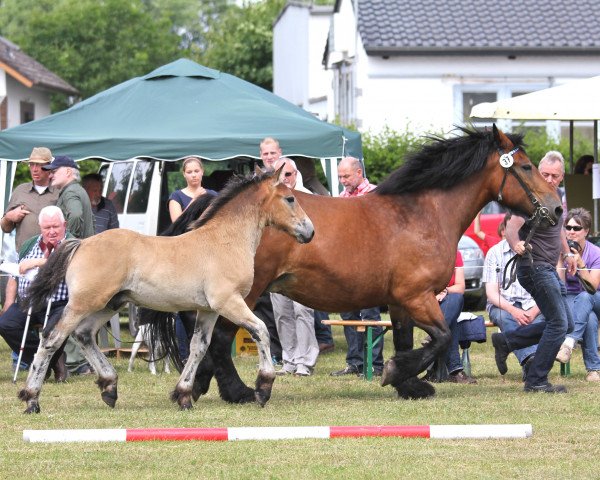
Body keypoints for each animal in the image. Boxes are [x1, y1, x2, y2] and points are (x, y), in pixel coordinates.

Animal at [17, 169, 314, 412]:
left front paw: (183, 396)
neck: (224, 241)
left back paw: (109, 387)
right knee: (52, 338)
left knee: (83, 334)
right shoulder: (229, 302)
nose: (309, 232)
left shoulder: (208, 310)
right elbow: (261, 330)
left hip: (110, 304)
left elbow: (198, 347)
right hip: (83, 303)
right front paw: (263, 387)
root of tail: (80, 243)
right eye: (290, 199)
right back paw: (31, 398)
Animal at [152, 125, 560, 404]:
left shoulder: (400, 302)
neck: (422, 214)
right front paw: (398, 374)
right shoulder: (418, 296)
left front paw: (409, 384)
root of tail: (214, 201)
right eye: (525, 166)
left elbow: (408, 339)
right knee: (221, 340)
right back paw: (238, 391)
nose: (556, 208)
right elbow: (442, 337)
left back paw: (203, 384)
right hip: (245, 294)